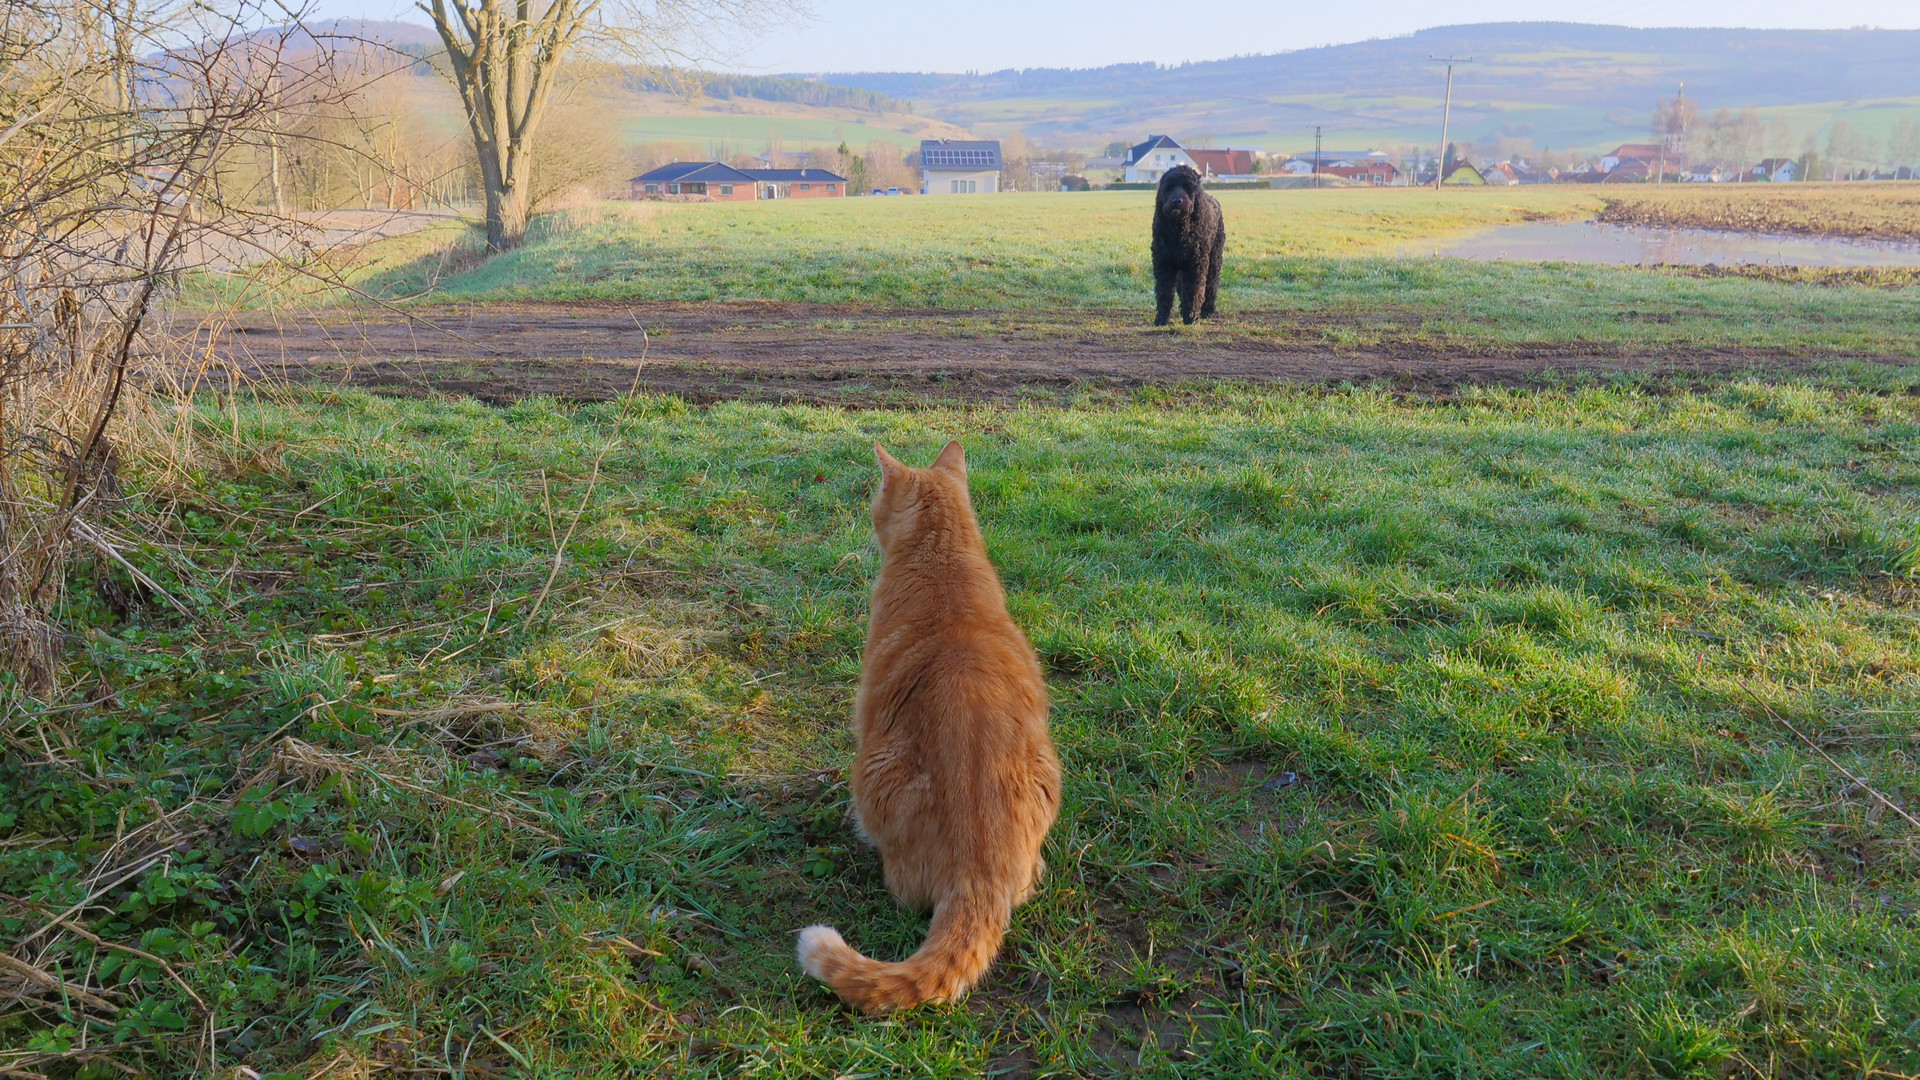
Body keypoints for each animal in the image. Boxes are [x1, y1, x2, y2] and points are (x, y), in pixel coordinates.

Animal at [1144, 164, 1221, 322]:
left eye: (1188, 187)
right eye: (1169, 186)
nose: (1177, 201)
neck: (1179, 230)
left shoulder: (1195, 265)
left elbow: (1193, 290)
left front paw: (1191, 316)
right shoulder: (1163, 263)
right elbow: (1164, 291)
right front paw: (1162, 317)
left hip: (1214, 260)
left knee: (1211, 285)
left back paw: (1207, 310)